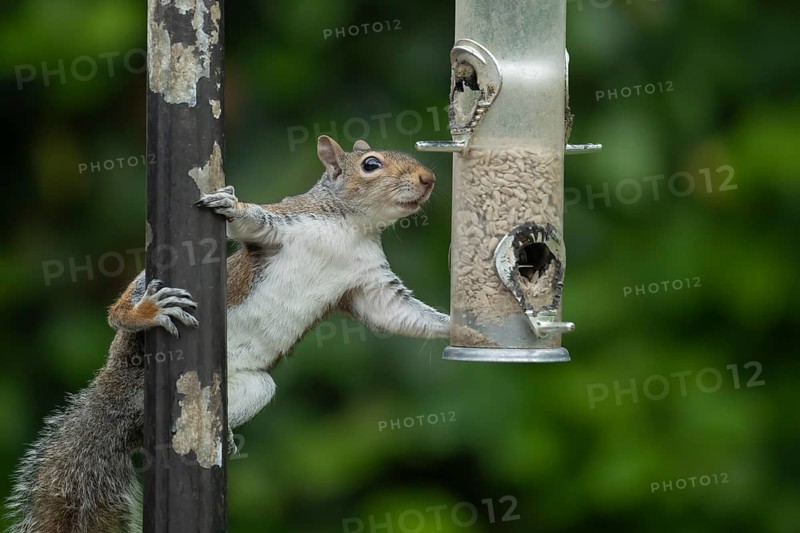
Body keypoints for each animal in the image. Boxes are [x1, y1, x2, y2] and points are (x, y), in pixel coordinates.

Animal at [6, 135, 451, 532]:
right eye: (370, 164)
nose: (429, 178)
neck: (352, 227)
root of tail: (114, 394)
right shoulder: (287, 223)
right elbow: (253, 222)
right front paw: (230, 203)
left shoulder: (370, 287)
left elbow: (398, 315)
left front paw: (457, 327)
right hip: (136, 328)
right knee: (118, 317)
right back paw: (143, 312)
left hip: (249, 387)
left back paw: (226, 436)